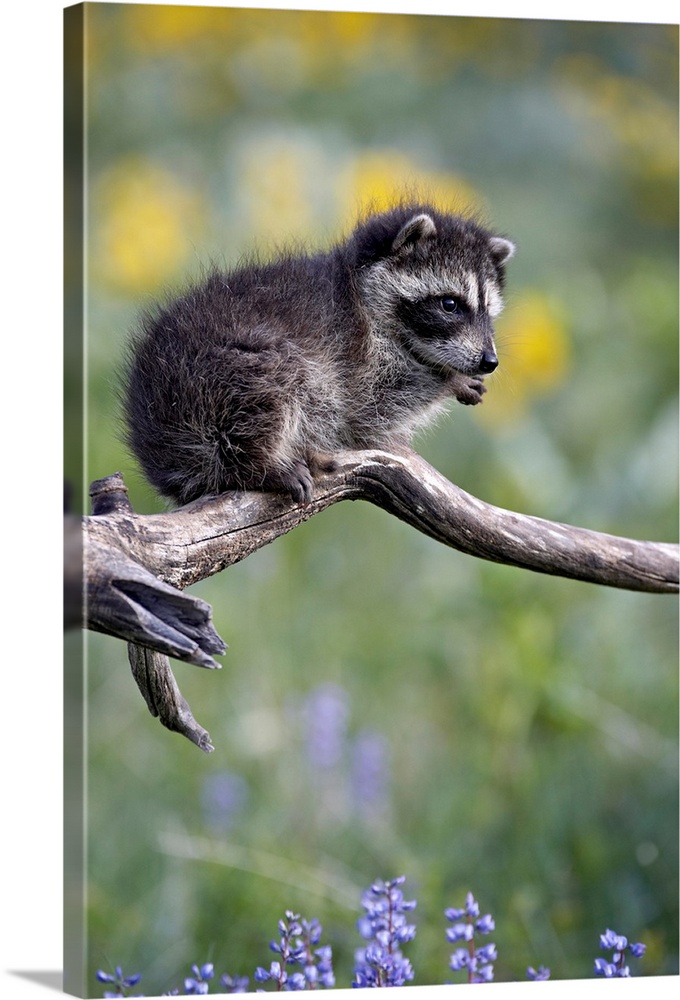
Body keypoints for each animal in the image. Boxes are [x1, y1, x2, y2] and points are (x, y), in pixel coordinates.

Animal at [123, 201, 516, 508]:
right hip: (216, 375)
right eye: (450, 305)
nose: (489, 362)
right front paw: (446, 378)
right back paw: (260, 463)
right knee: (278, 380)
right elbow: (372, 407)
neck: (360, 290)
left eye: (488, 313)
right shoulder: (354, 353)